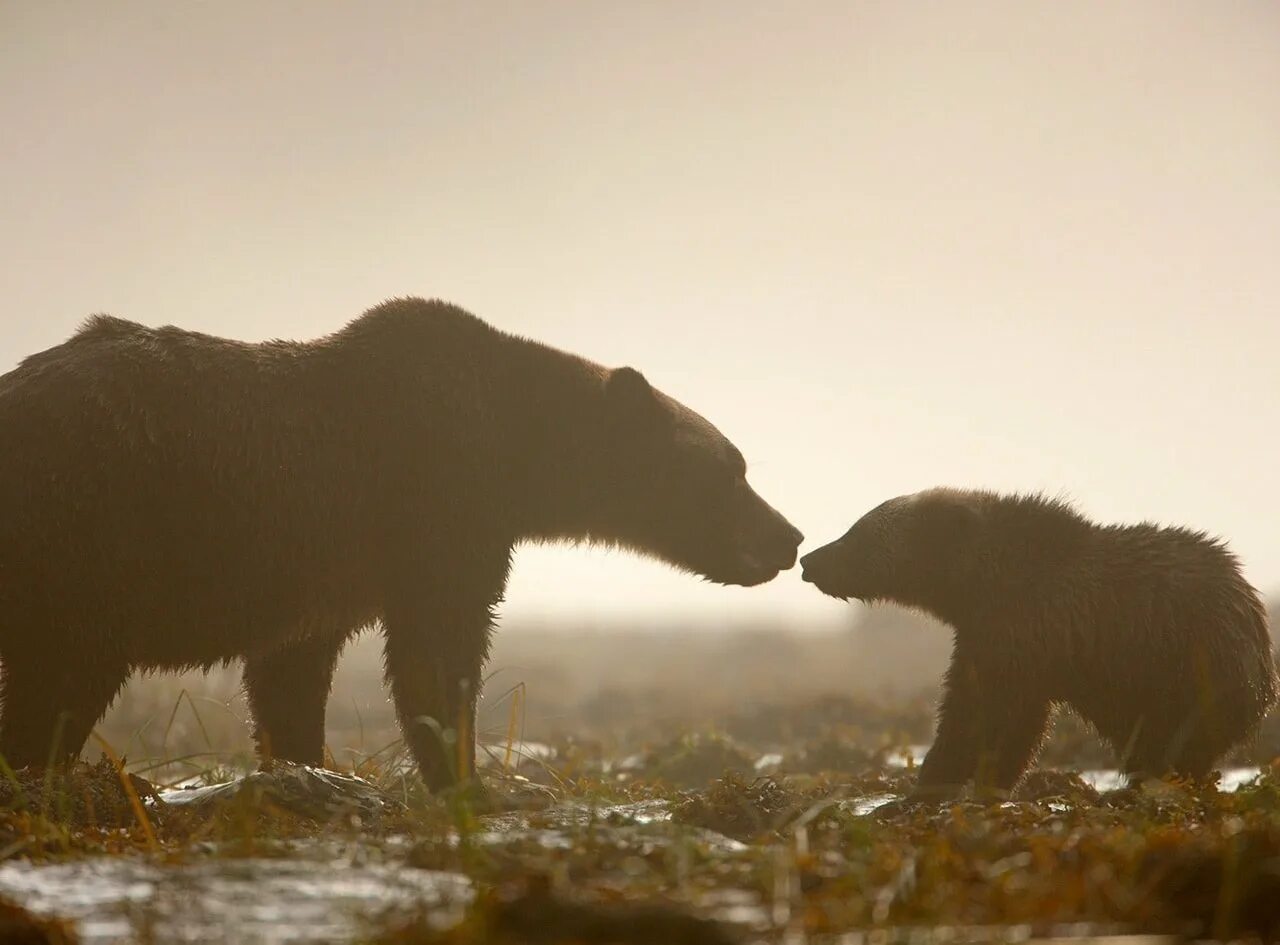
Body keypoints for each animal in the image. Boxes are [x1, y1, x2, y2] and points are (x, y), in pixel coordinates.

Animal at [0, 295, 798, 788]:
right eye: (731, 469)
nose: (789, 536)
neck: (517, 450)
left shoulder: (323, 576)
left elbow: (292, 674)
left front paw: (304, 761)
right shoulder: (433, 508)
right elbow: (437, 654)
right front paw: (465, 777)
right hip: (91, 535)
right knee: (64, 675)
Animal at [803, 489, 1274, 793]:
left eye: (859, 532)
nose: (810, 558)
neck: (979, 583)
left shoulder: (1020, 634)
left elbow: (987, 716)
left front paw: (937, 776)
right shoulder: (992, 636)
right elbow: (989, 711)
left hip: (1186, 664)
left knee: (1176, 738)